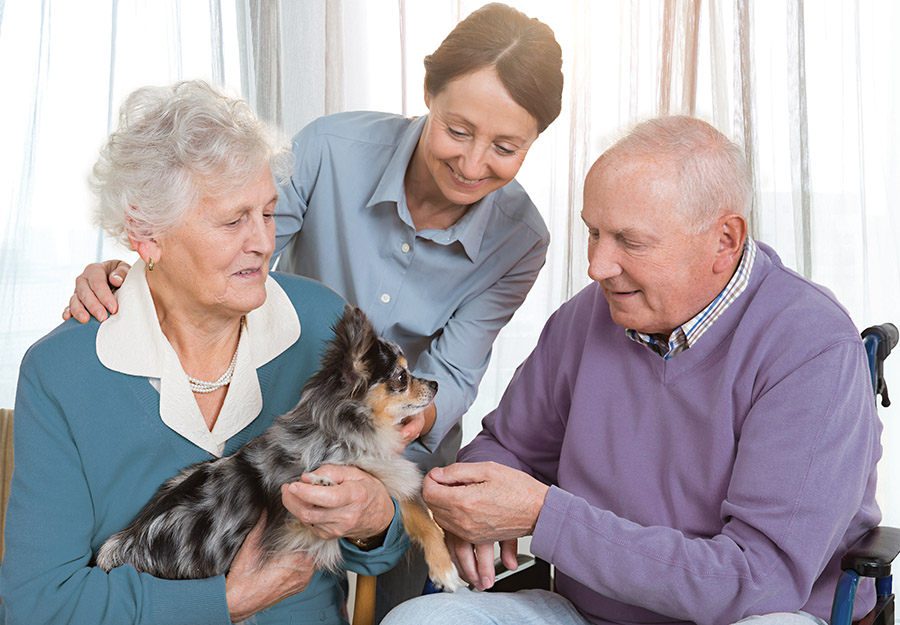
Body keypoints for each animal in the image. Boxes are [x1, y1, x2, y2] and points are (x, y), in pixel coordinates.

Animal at [96, 308, 464, 588]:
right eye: (402, 377)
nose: (435, 383)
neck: (344, 436)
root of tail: (122, 545)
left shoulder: (386, 479)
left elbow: (424, 520)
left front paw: (446, 571)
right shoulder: (292, 529)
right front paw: (321, 481)